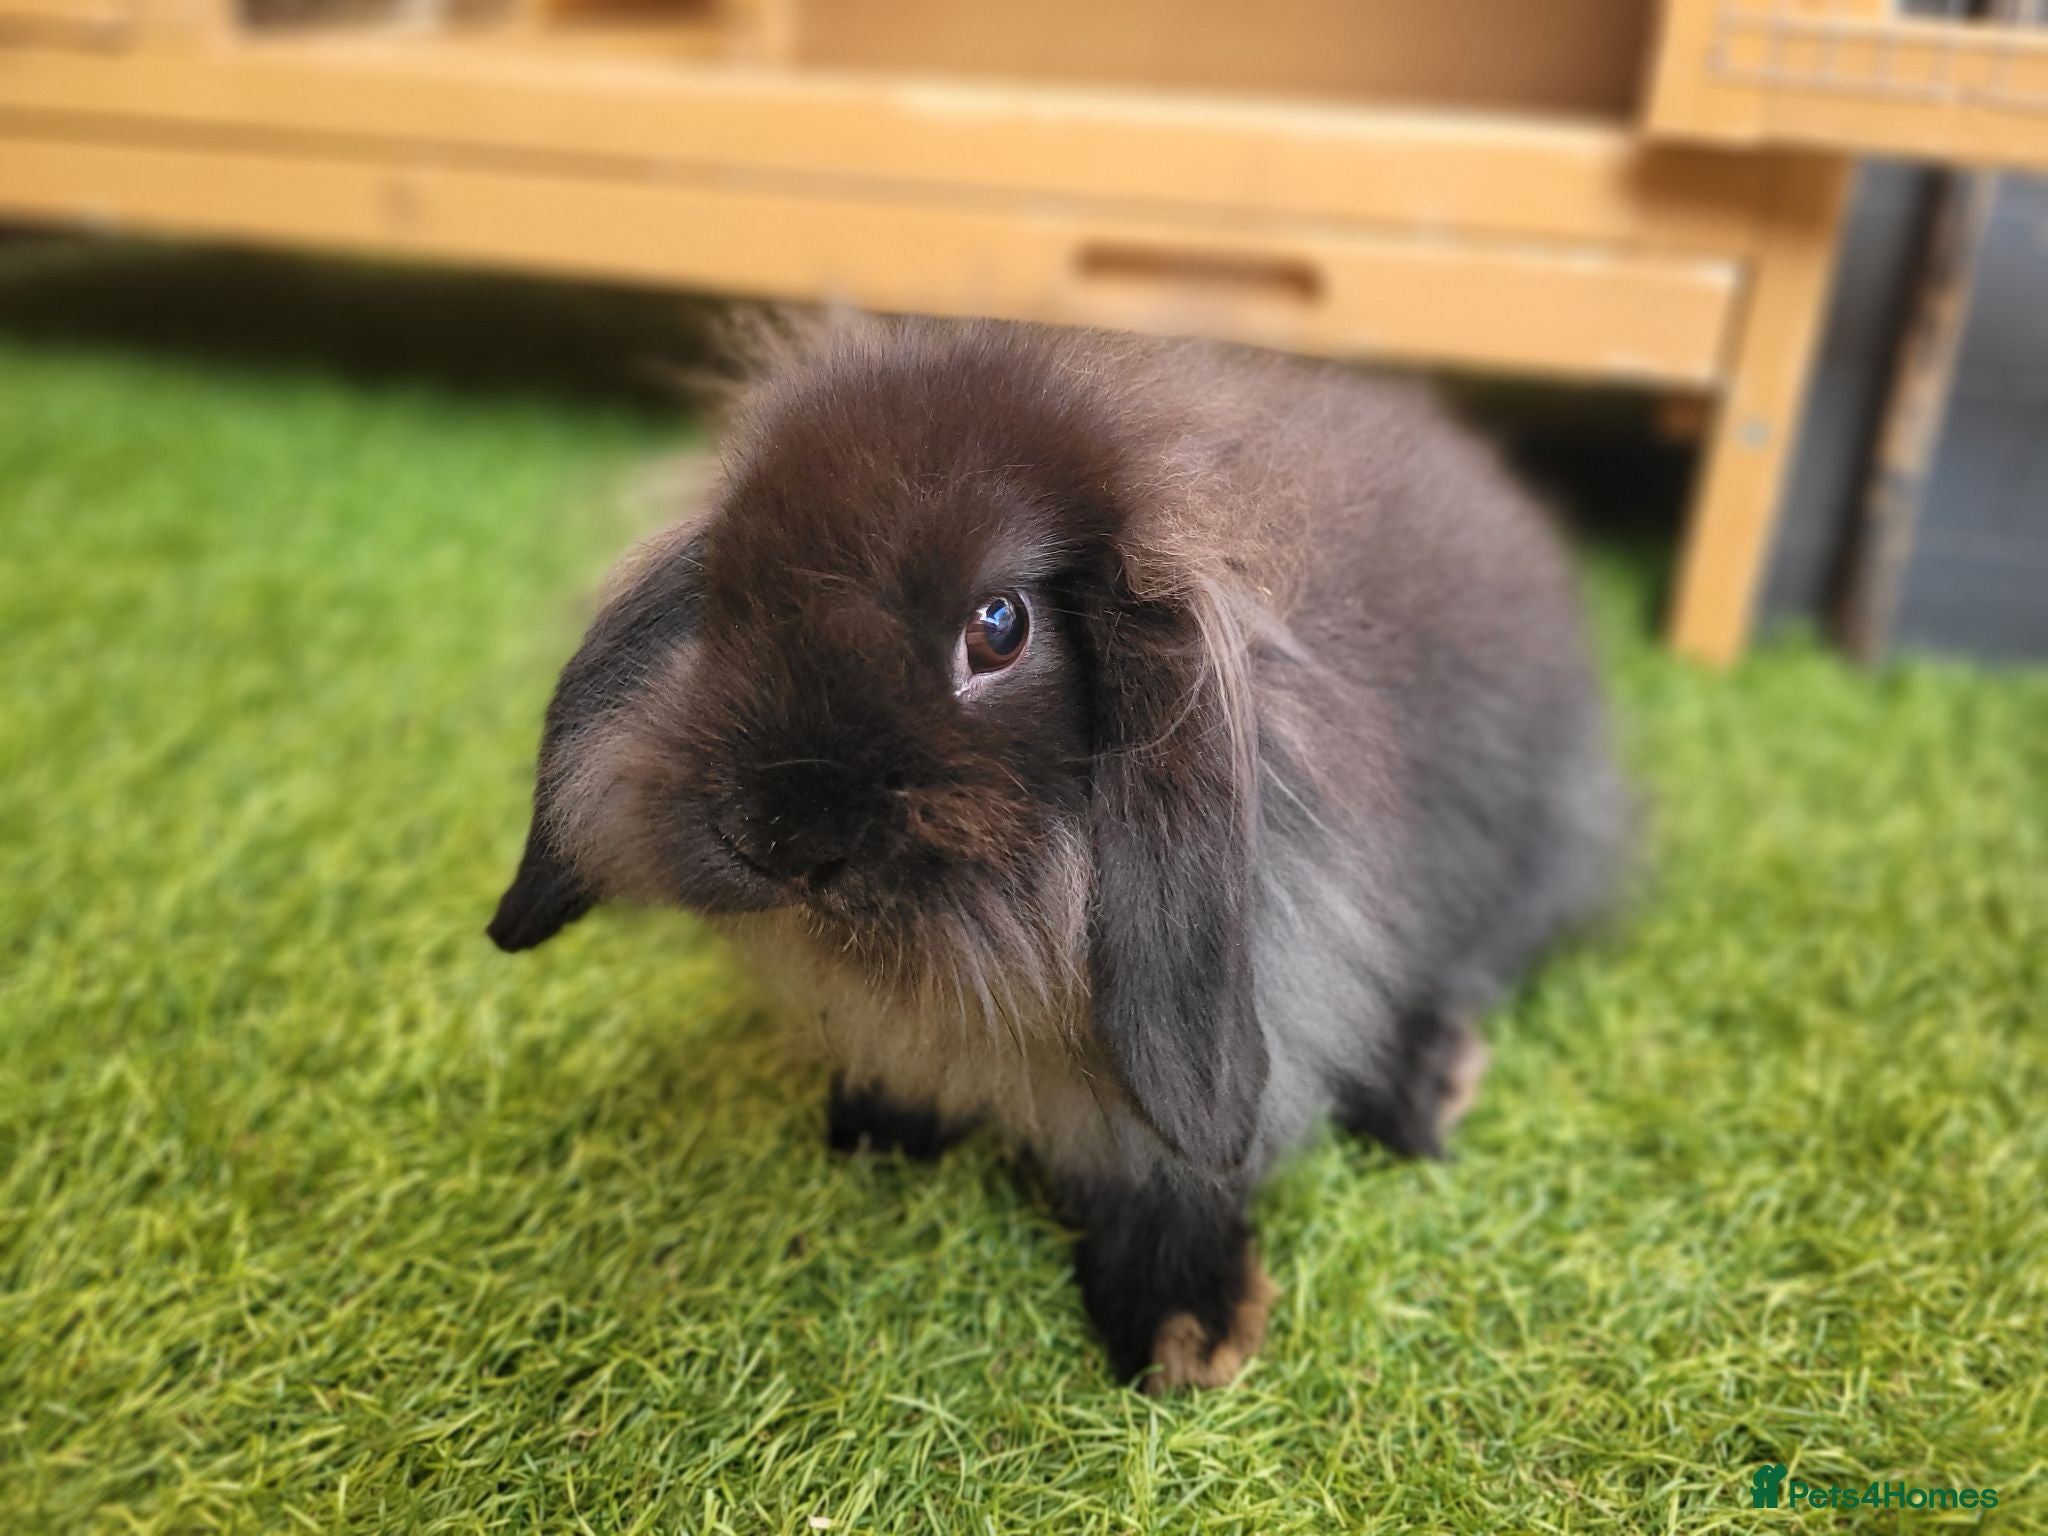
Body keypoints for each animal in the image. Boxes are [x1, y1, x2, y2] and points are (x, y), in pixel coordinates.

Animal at [488, 315, 1631, 1393]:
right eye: (734, 590)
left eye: (998, 627)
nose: (777, 834)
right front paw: (876, 1125)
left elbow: (1183, 1168)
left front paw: (1186, 1331)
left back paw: (1428, 1086)